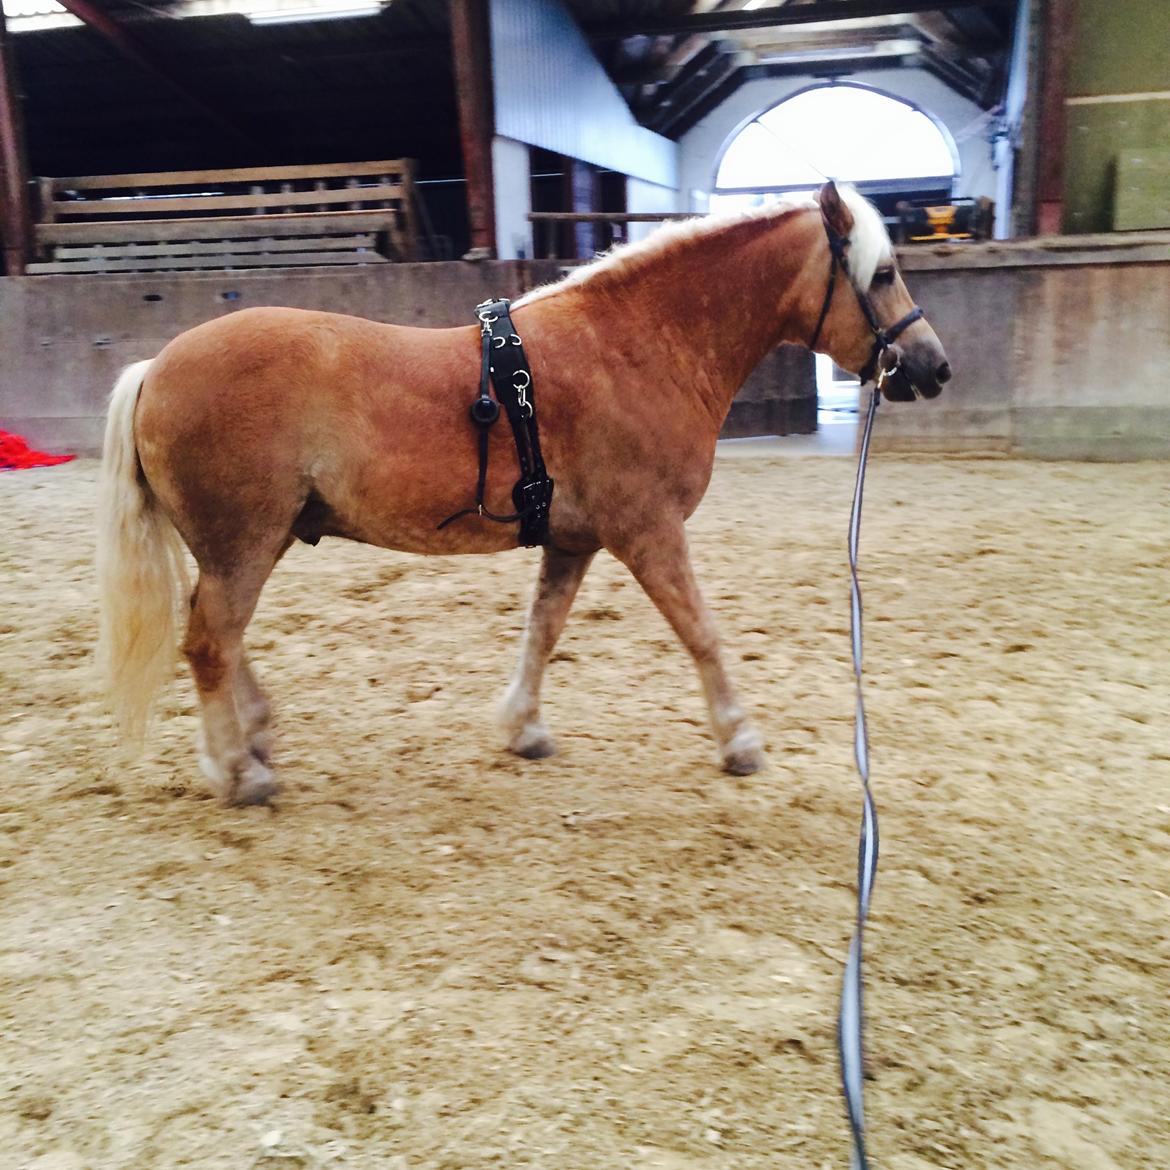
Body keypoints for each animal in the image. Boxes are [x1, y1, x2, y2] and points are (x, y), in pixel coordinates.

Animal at [93, 182, 950, 804]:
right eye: (880, 274)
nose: (933, 366)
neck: (636, 344)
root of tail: (155, 369)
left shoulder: (575, 540)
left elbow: (543, 632)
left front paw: (522, 729)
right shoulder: (648, 531)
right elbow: (701, 631)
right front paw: (739, 740)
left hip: (249, 544)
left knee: (221, 637)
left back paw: (255, 741)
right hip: (244, 544)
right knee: (210, 642)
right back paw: (240, 771)